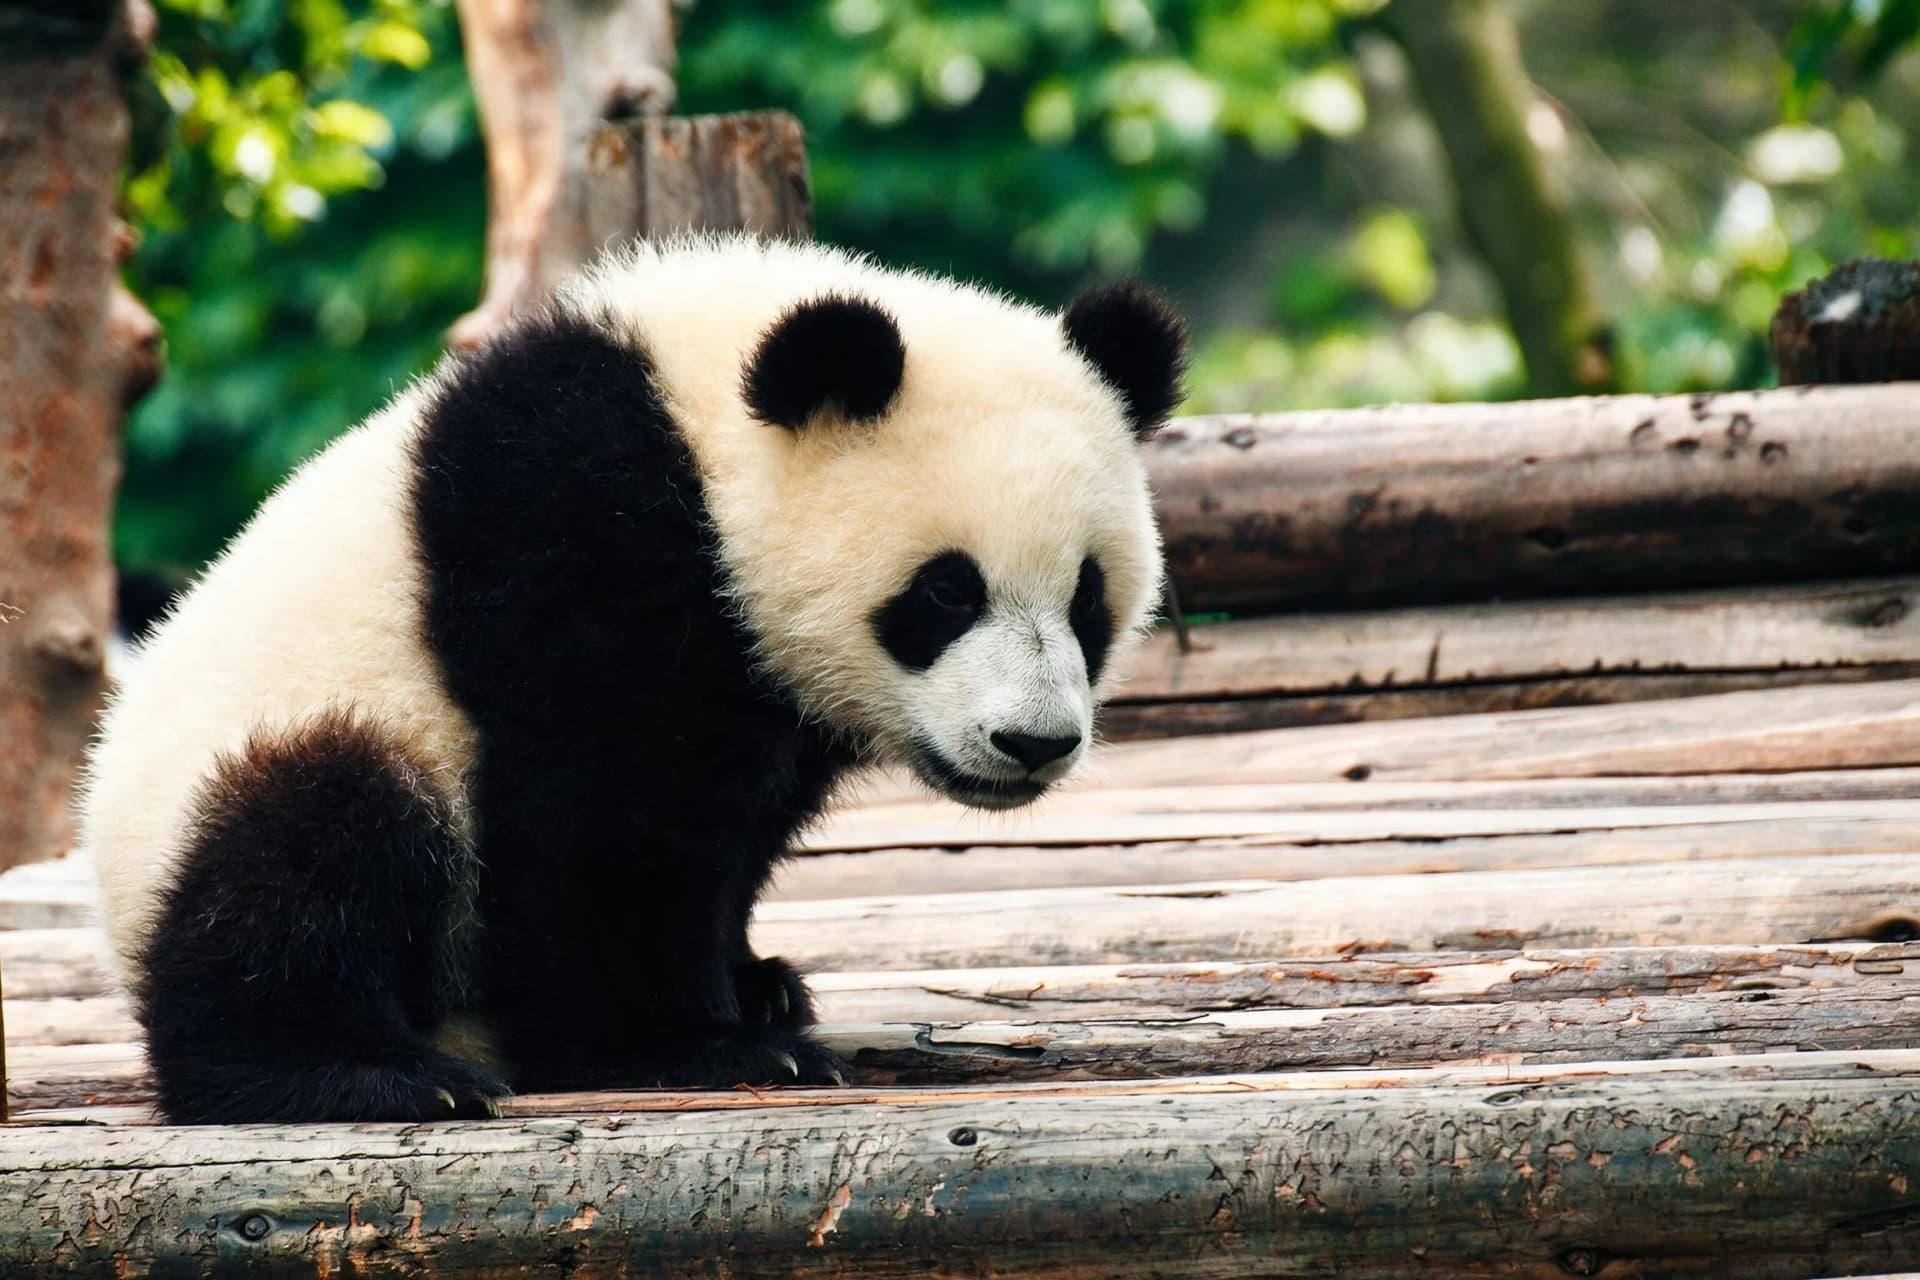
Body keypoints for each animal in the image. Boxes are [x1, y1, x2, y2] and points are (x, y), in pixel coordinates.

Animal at [79, 234, 1186, 1124]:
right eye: (947, 590)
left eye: (1088, 598)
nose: (1033, 743)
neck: (701, 433)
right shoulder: (576, 536)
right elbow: (602, 822)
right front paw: (705, 1042)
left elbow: (730, 827)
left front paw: (755, 983)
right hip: (283, 749)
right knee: (314, 840)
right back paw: (357, 1070)